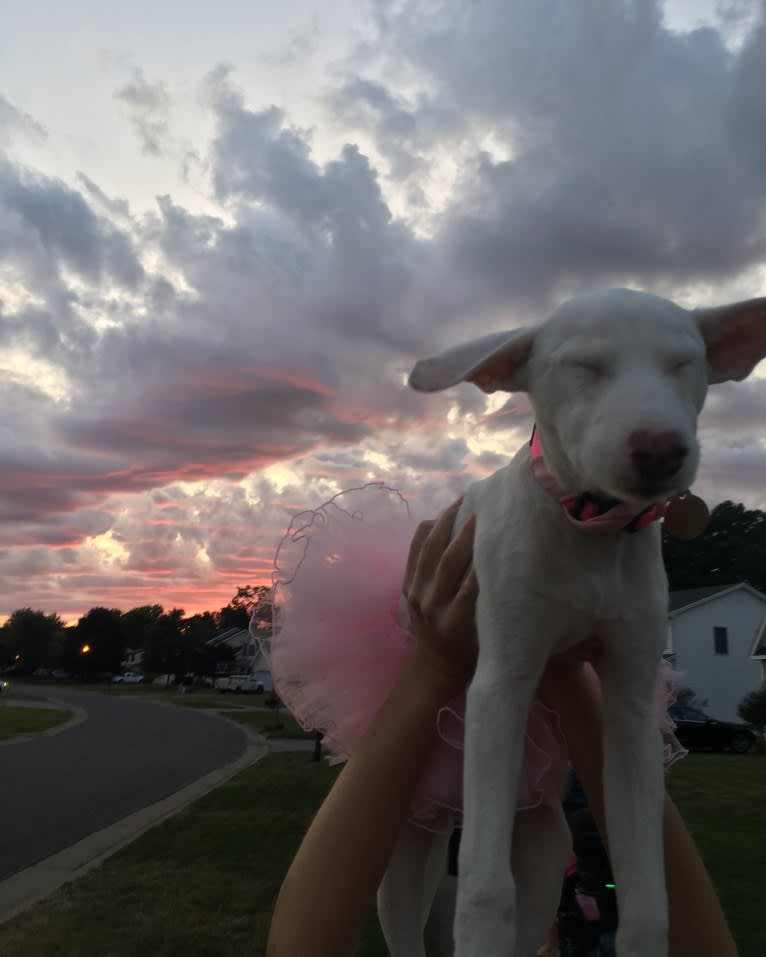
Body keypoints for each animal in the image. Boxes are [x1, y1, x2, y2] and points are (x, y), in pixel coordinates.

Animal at [380, 290, 764, 956]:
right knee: (402, 892)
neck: (591, 529)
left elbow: (647, 901)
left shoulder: (632, 708)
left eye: (683, 364)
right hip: (422, 789)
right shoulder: (499, 685)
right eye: (583, 367)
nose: (660, 450)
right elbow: (484, 891)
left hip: (540, 820)